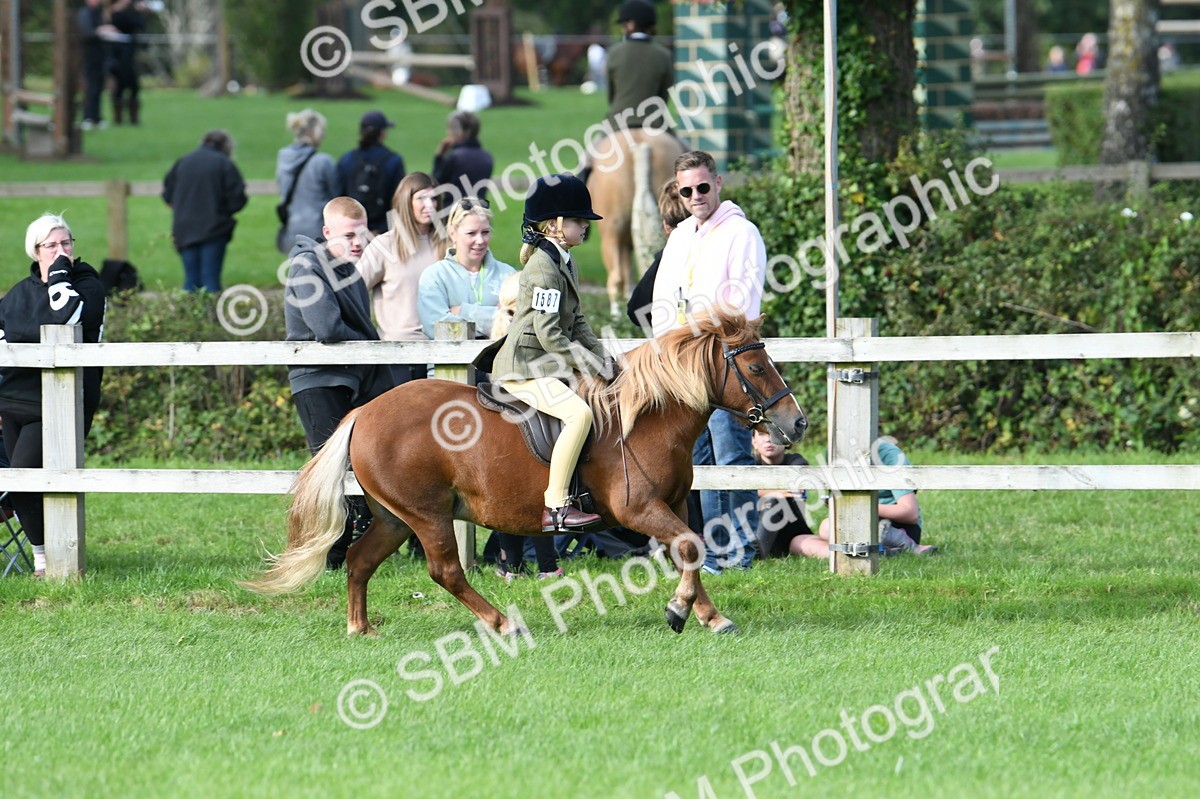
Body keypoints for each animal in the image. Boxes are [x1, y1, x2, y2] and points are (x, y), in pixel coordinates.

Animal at [241, 311, 808, 637]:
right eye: (756, 368)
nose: (797, 421)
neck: (647, 416)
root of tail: (363, 412)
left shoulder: (666, 508)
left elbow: (688, 551)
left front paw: (707, 615)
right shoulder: (640, 509)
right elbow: (691, 545)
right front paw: (679, 611)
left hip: (394, 517)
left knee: (359, 561)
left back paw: (360, 629)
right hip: (427, 516)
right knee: (445, 571)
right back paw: (501, 623)